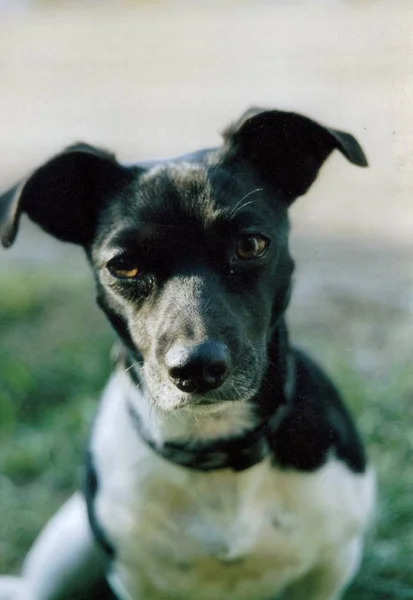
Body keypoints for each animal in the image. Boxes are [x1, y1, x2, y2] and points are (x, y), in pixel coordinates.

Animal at [0, 109, 374, 600]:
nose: (197, 369)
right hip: (68, 546)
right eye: (123, 265)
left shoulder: (330, 566)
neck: (216, 448)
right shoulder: (135, 578)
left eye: (251, 244)